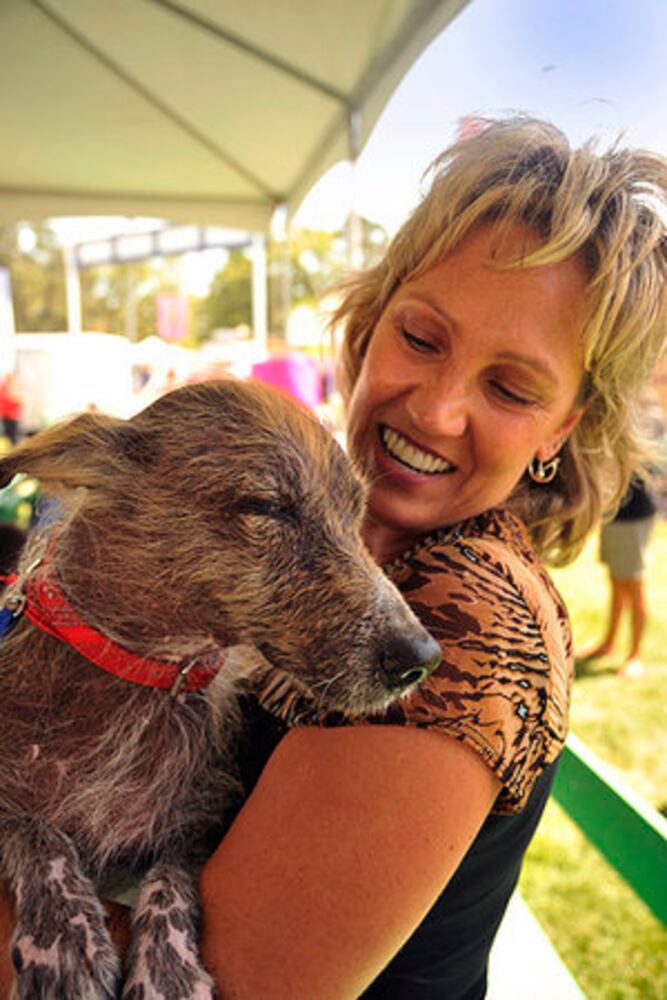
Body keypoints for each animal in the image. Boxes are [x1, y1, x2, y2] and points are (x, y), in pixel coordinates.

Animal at [0, 378, 441, 999]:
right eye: (269, 508)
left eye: (356, 514)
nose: (423, 658)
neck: (148, 673)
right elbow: (35, 830)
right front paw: (65, 937)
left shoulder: (204, 816)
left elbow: (173, 873)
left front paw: (168, 966)